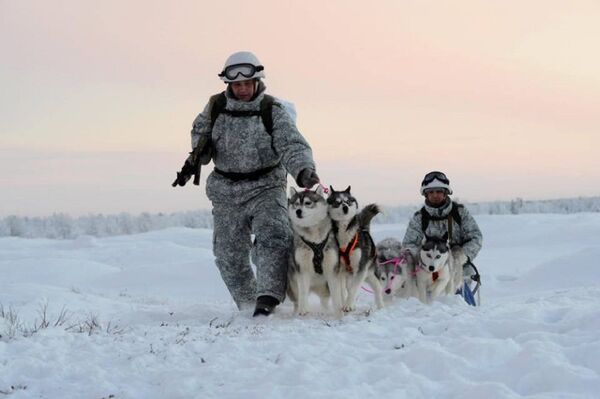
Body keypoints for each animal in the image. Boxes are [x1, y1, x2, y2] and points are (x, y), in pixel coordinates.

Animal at [288, 188, 344, 316]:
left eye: (308, 203)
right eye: (296, 204)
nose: (298, 211)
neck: (314, 239)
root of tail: (314, 287)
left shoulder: (332, 269)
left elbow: (336, 294)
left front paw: (339, 313)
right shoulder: (302, 269)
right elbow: (303, 293)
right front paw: (302, 311)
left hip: (326, 286)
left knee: (326, 299)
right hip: (293, 284)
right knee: (297, 300)